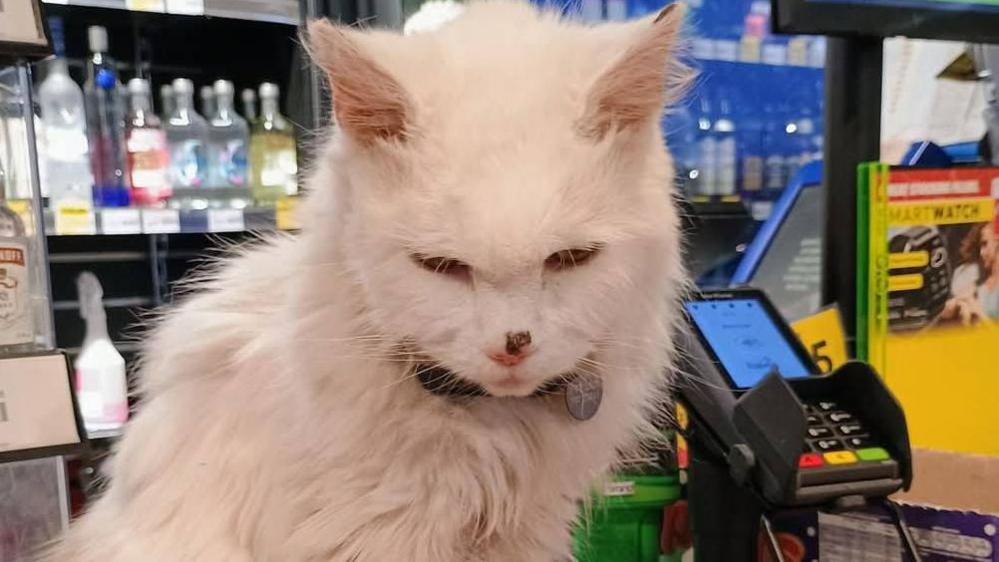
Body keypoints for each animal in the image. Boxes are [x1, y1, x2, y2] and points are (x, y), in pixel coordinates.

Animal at [45, 2, 688, 556]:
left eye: (571, 259)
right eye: (440, 267)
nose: (512, 346)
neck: (488, 428)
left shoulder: (528, 531)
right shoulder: (375, 536)